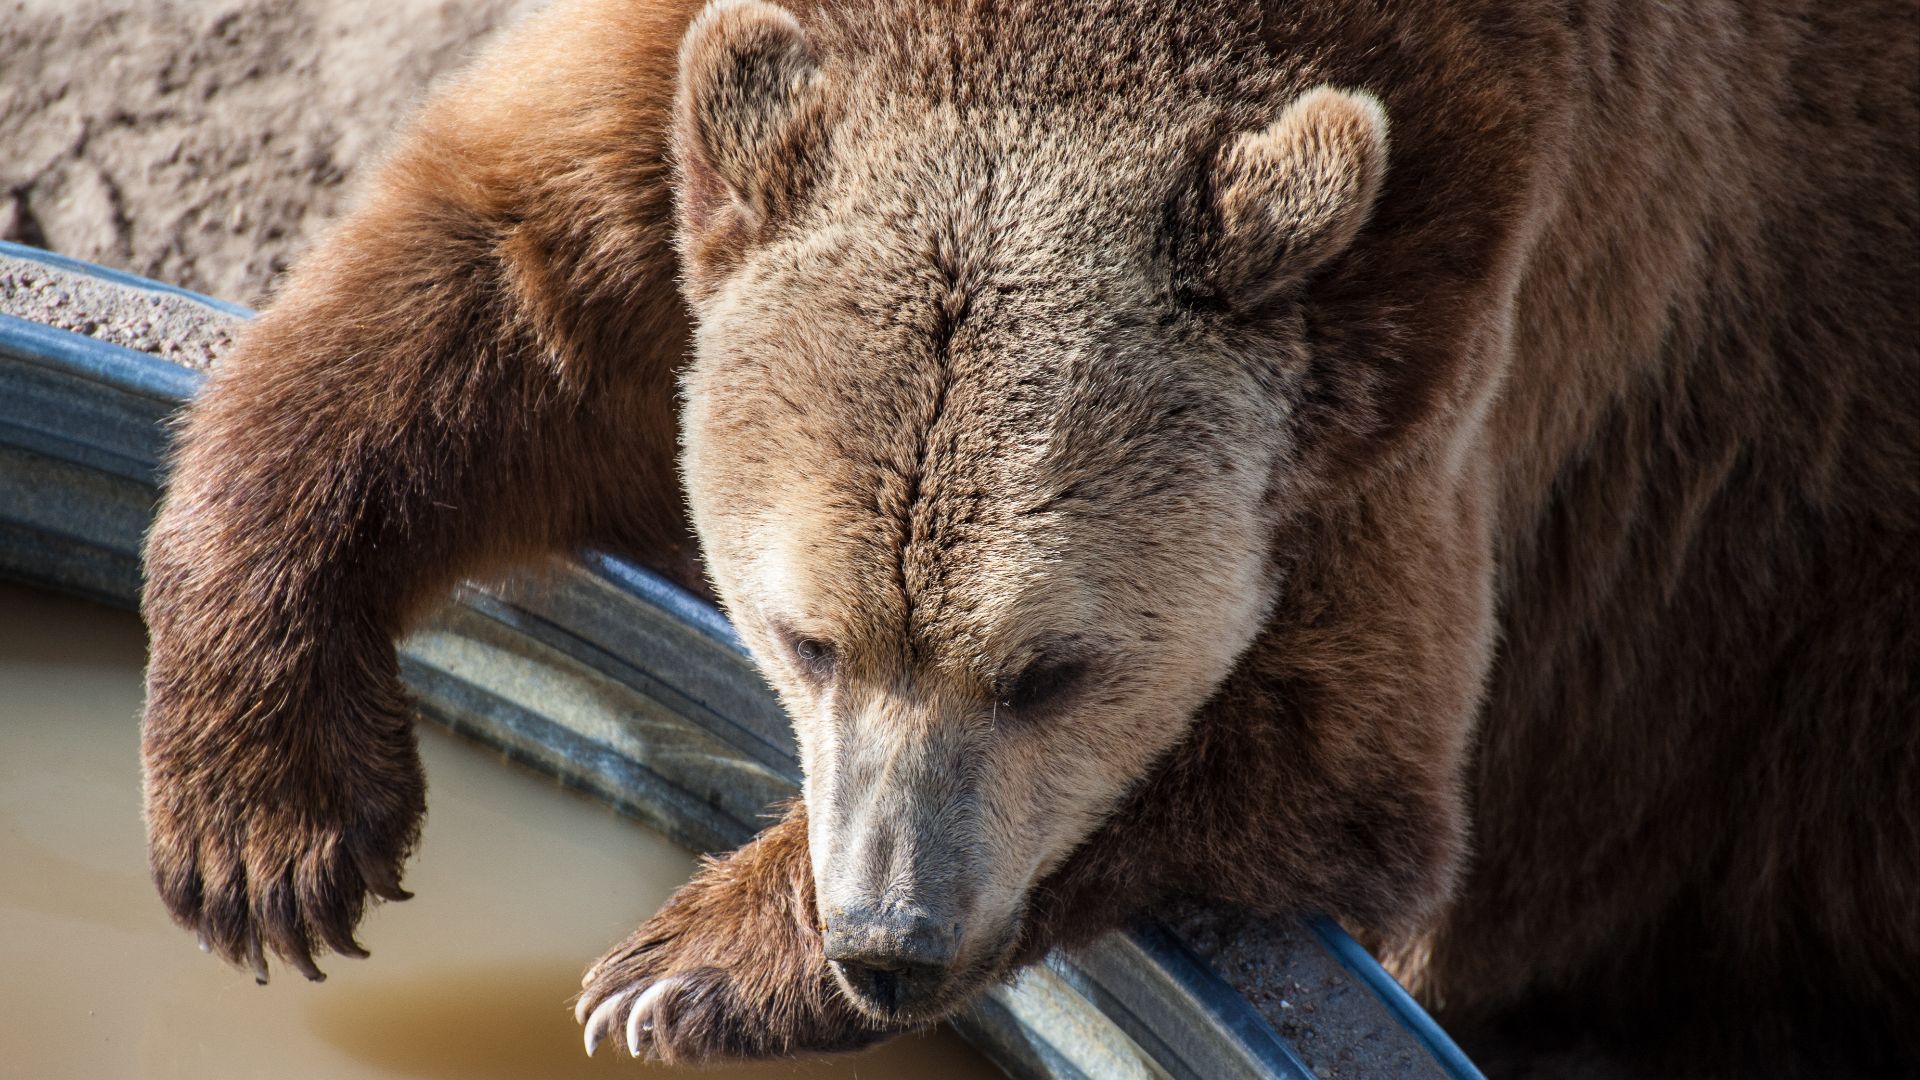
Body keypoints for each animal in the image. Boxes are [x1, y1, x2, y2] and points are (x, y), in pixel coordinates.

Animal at [138, 0, 1919, 1075]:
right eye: (805, 637)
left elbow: (1335, 763)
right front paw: (271, 828)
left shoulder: (1447, 334)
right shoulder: (687, 115)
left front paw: (678, 968)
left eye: (1054, 670)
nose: (888, 944)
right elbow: (491, 285)